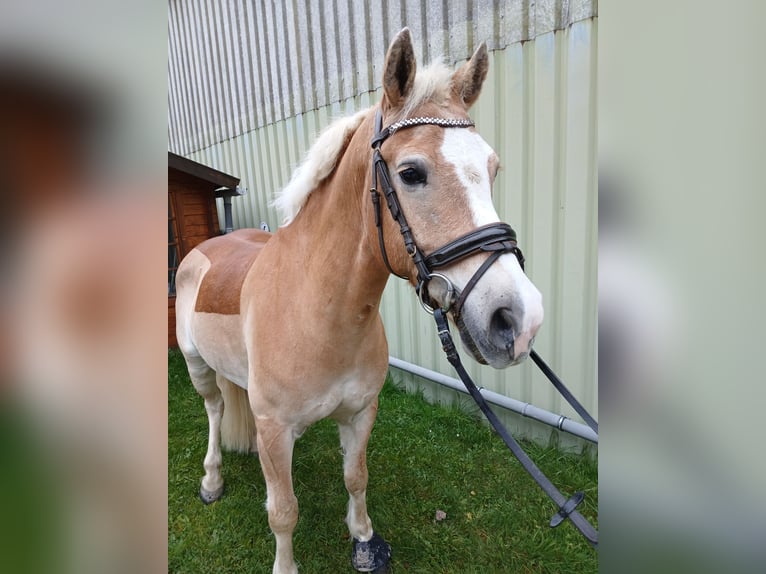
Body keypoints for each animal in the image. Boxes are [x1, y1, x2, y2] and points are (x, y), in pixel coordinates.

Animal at [174, 28, 544, 574]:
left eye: (492, 169)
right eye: (411, 173)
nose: (517, 319)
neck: (318, 314)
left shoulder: (360, 413)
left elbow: (356, 478)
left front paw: (364, 538)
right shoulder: (275, 429)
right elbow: (283, 510)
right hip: (197, 366)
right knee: (216, 412)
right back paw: (212, 479)